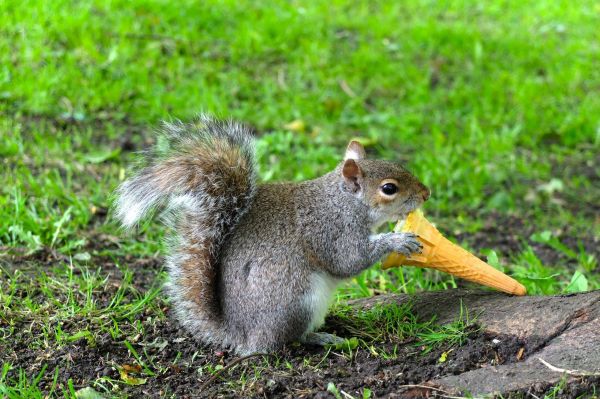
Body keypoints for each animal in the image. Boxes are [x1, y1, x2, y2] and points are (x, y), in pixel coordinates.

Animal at [115, 115, 428, 356]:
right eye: (389, 188)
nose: (426, 193)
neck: (343, 201)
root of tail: (239, 334)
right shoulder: (331, 230)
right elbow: (349, 261)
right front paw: (397, 240)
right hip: (298, 300)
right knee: (284, 341)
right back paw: (321, 338)